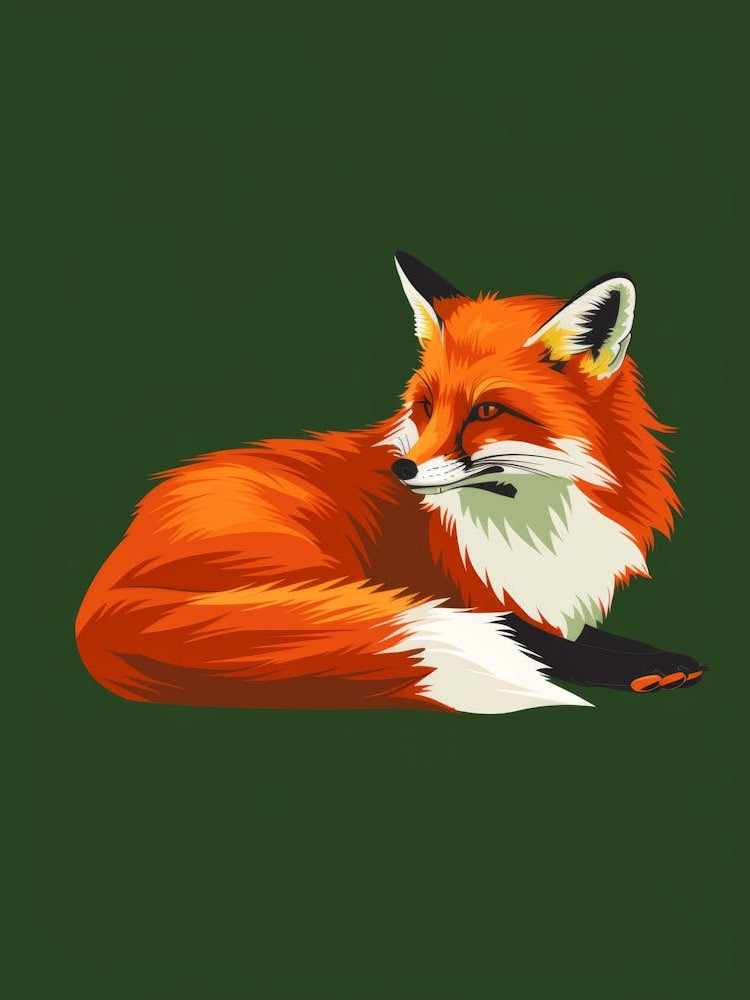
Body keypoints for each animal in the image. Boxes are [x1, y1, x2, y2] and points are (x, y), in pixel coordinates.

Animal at [75, 252, 706, 714]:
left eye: (485, 411)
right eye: (426, 406)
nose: (402, 470)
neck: (533, 521)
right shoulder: (468, 597)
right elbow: (531, 637)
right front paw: (645, 666)